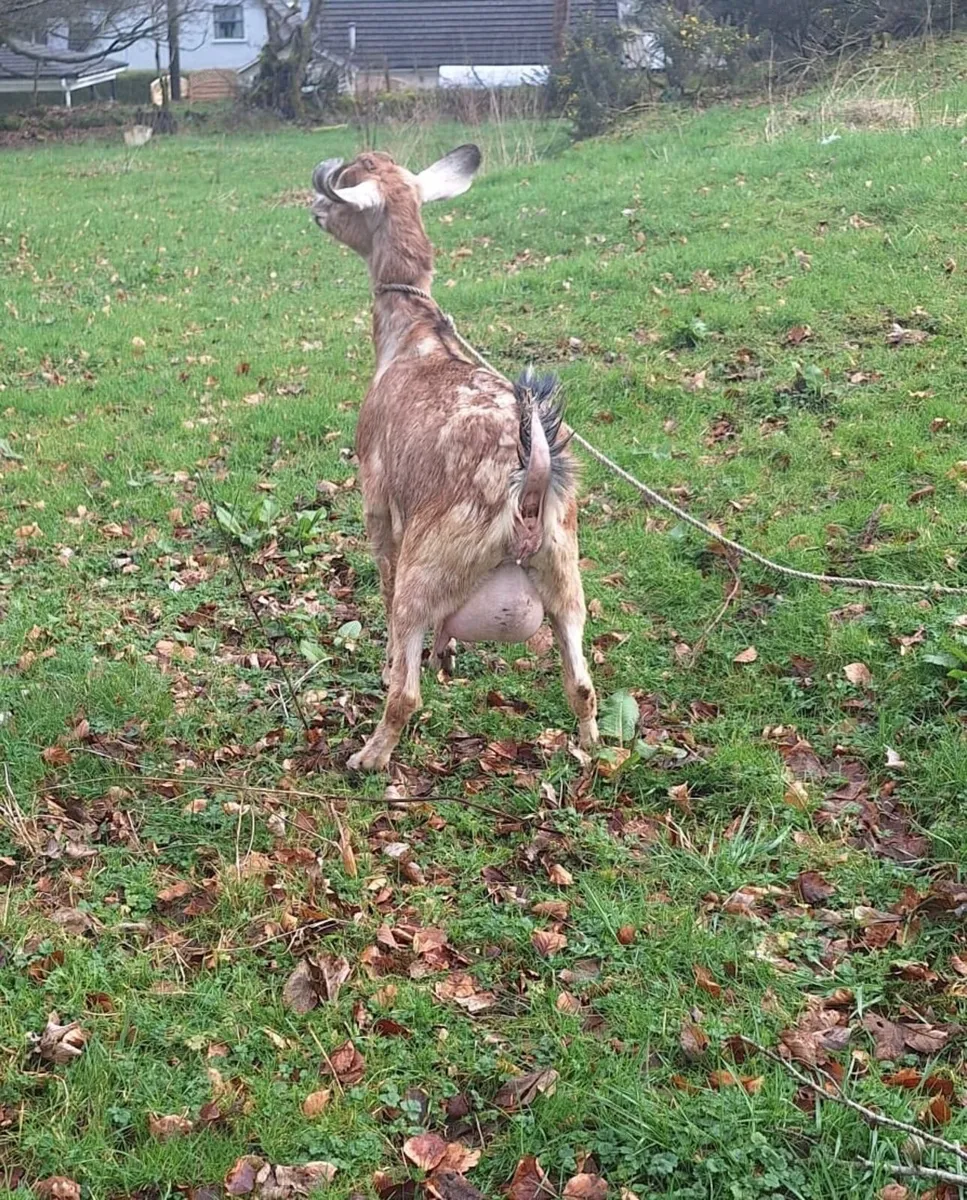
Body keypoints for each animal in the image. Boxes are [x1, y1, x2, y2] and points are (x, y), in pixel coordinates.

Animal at [310, 145, 598, 771]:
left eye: (342, 194)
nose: (313, 210)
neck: (412, 338)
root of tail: (531, 486)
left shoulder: (376, 496)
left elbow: (384, 577)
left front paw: (393, 662)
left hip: (429, 565)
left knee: (406, 691)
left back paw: (369, 756)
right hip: (566, 578)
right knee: (582, 681)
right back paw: (591, 749)